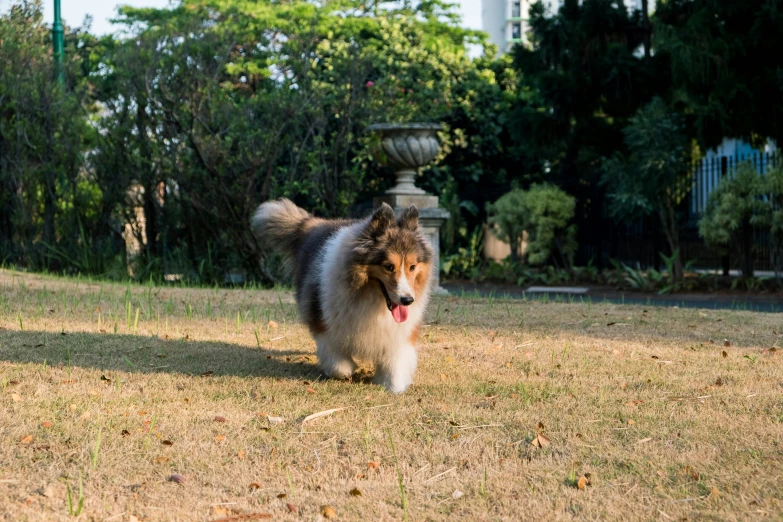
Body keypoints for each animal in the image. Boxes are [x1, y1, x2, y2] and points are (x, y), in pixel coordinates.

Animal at [253, 198, 432, 390]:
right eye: (389, 267)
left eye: (412, 267)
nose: (408, 300)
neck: (370, 299)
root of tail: (314, 223)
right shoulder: (326, 324)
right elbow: (337, 362)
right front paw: (348, 369)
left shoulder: (398, 334)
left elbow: (395, 363)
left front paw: (393, 386)